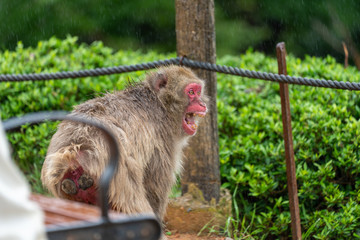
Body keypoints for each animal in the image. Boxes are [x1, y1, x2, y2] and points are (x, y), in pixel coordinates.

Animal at [40, 65, 207, 225]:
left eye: (198, 92)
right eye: (191, 92)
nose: (203, 104)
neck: (159, 104)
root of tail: (76, 149)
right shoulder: (162, 143)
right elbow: (154, 188)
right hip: (121, 181)